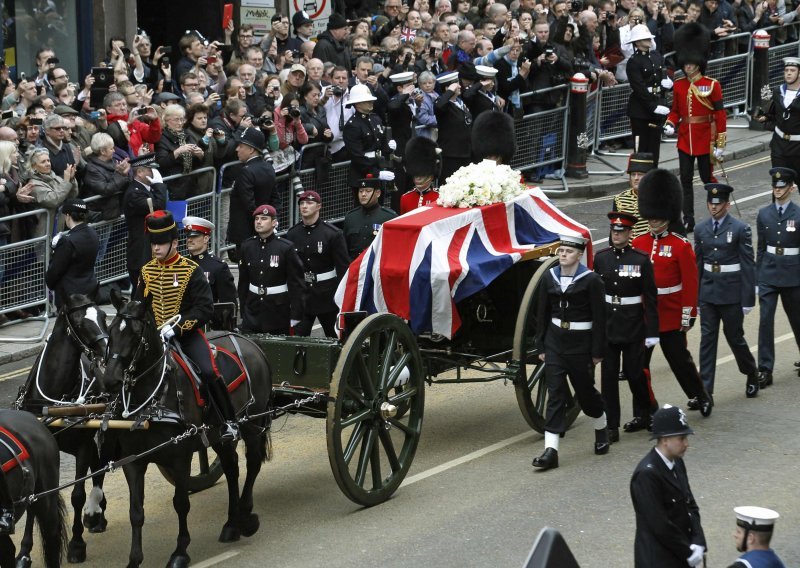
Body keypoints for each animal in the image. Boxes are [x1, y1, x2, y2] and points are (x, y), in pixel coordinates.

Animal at [14, 296, 110, 564]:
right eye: (79, 321)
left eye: (103, 315)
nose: (107, 351)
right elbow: (36, 501)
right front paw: (24, 551)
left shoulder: (83, 445)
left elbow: (77, 495)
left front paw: (76, 545)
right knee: (98, 465)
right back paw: (97, 514)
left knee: (99, 467)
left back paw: (95, 514)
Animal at [104, 290, 274, 564]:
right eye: (111, 330)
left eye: (136, 333)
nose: (110, 379)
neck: (154, 398)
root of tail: (249, 342)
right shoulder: (133, 460)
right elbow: (136, 511)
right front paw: (134, 559)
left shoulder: (179, 456)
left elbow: (181, 503)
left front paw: (180, 551)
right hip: (219, 435)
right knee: (232, 468)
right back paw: (231, 524)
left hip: (252, 423)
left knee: (253, 463)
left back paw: (245, 515)